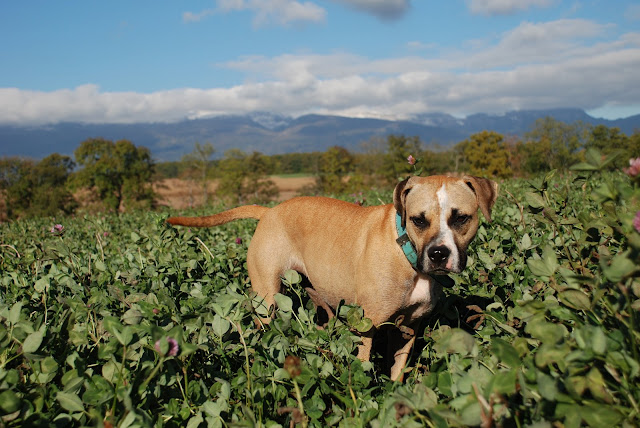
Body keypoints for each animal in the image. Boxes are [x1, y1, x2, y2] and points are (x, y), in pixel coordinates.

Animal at [167, 175, 498, 381]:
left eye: (461, 218)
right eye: (418, 220)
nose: (439, 254)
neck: (406, 253)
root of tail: (269, 212)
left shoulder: (407, 329)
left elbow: (397, 371)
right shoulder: (367, 325)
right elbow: (363, 363)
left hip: (320, 301)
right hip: (267, 300)